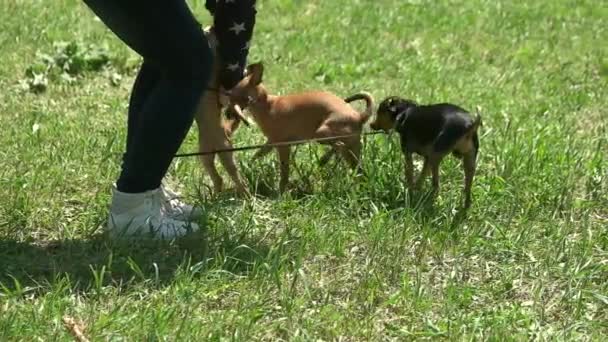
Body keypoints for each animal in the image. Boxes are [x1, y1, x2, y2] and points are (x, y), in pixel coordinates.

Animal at [229, 62, 376, 194]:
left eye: (233, 95)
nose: (228, 112)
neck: (266, 104)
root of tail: (359, 116)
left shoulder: (283, 146)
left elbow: (284, 172)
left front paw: (281, 191)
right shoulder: (271, 143)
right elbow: (257, 155)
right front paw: (247, 167)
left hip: (321, 133)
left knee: (340, 146)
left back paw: (325, 159)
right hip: (353, 147)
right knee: (355, 164)